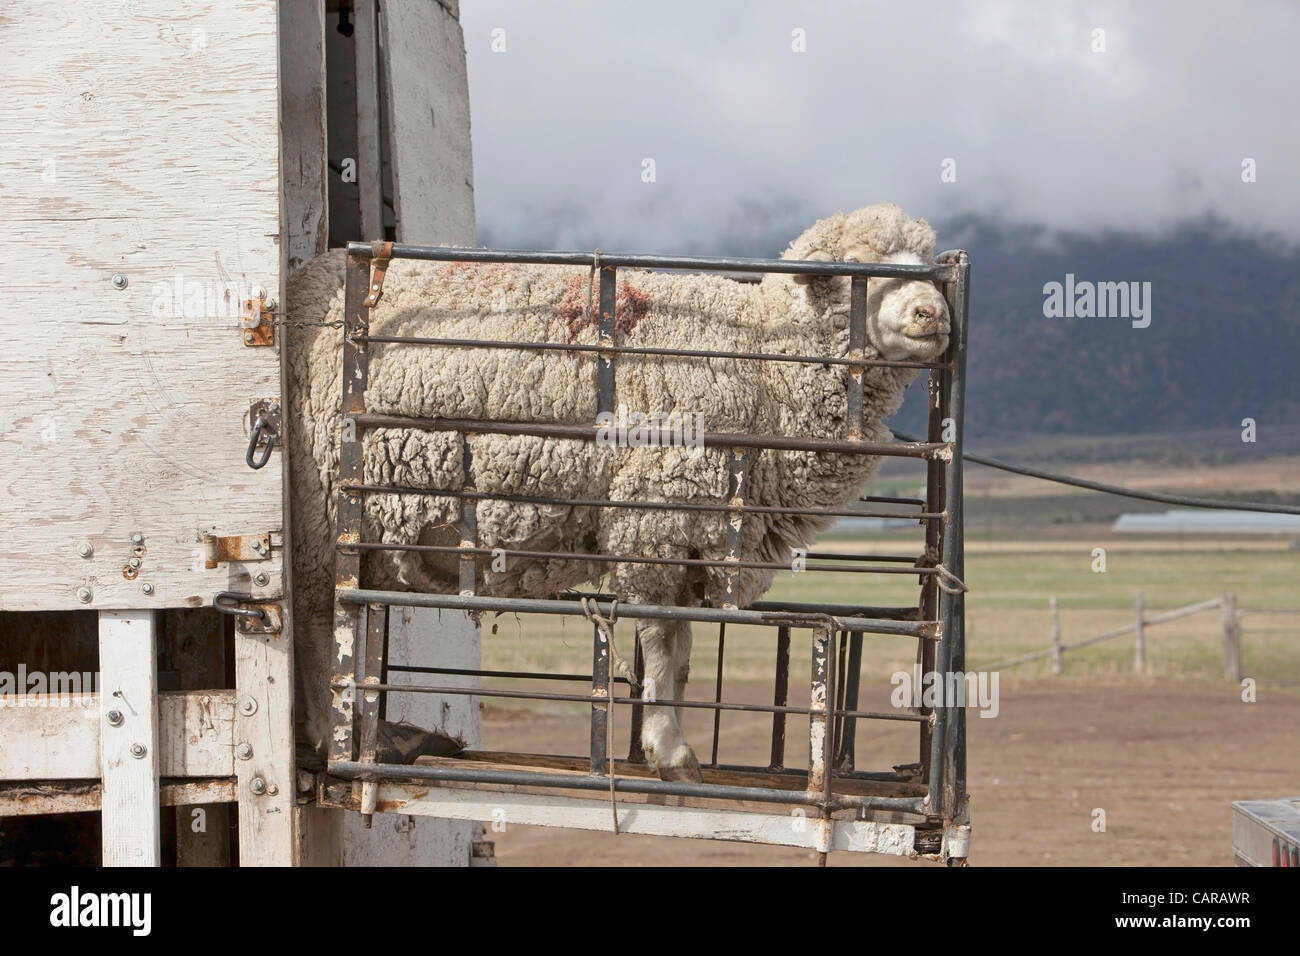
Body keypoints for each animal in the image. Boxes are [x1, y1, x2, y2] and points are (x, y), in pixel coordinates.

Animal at [287, 204, 956, 785]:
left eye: (925, 263)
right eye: (857, 267)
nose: (934, 314)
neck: (764, 363)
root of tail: (304, 282)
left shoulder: (690, 533)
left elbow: (682, 652)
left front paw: (667, 738)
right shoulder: (655, 516)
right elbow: (660, 638)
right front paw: (670, 751)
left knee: (357, 612)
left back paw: (375, 732)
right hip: (319, 511)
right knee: (321, 618)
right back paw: (334, 734)